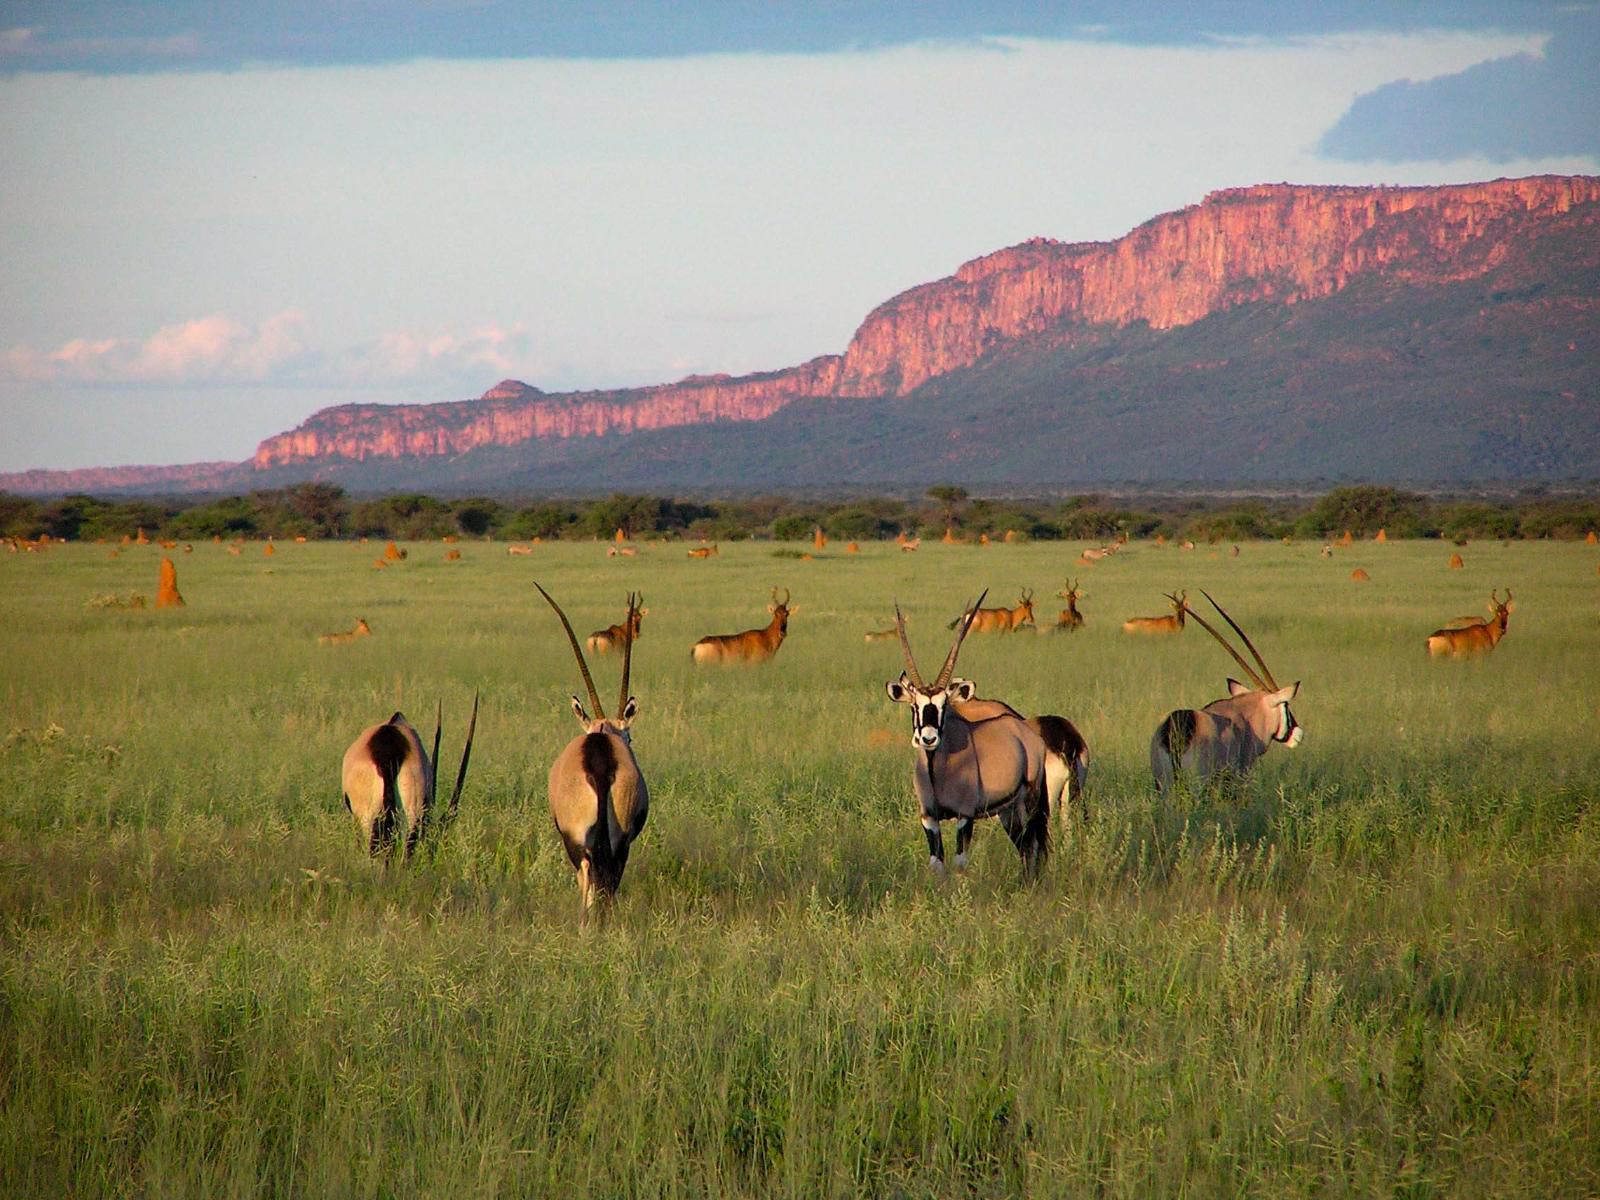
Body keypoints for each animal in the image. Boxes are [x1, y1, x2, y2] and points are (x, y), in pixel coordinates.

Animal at [883, 598, 1081, 876]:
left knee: (1037, 846)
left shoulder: (965, 816)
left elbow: (959, 864)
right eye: (915, 706)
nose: (928, 739)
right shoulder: (929, 818)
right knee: (1025, 846)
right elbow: (937, 865)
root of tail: (1024, 731)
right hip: (1010, 811)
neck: (937, 769)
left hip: (1034, 803)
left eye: (944, 705)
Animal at [1152, 592, 1299, 800]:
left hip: (1164, 786)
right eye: (1286, 706)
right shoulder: (1243, 772)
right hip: (1197, 783)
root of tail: (1176, 728)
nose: (1298, 734)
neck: (1245, 713)